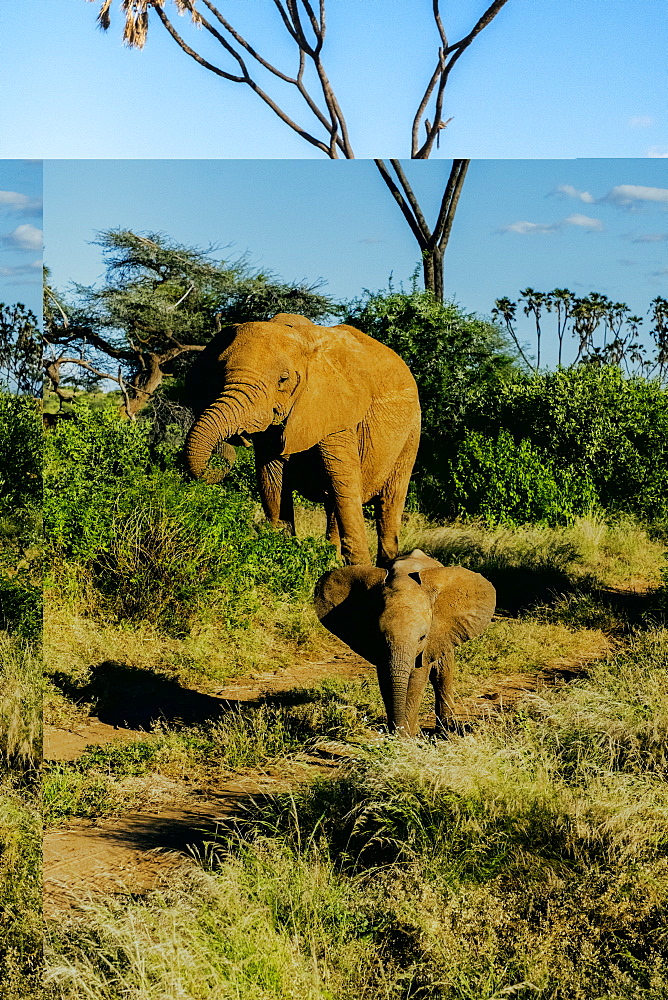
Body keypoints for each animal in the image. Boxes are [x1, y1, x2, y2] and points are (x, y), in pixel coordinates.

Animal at [185, 314, 420, 564]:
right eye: (219, 372)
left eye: (283, 379)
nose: (234, 442)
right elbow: (272, 480)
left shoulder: (336, 409)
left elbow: (345, 482)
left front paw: (362, 569)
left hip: (411, 434)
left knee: (388, 503)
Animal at [314, 548, 496, 736]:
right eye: (377, 635)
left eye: (422, 637)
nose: (397, 731)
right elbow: (386, 678)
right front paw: (402, 735)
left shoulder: (431, 639)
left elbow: (417, 677)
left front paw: (407, 737)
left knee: (443, 674)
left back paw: (447, 731)